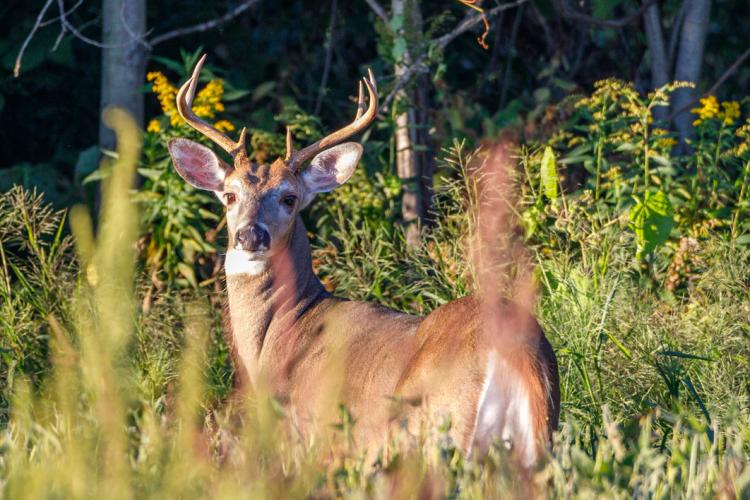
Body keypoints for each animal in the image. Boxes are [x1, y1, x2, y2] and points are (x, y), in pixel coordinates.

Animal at [167, 55, 560, 467]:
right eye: (229, 195)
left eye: (290, 198)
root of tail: (519, 353)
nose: (250, 236)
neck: (282, 330)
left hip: (437, 426)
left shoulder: (308, 436)